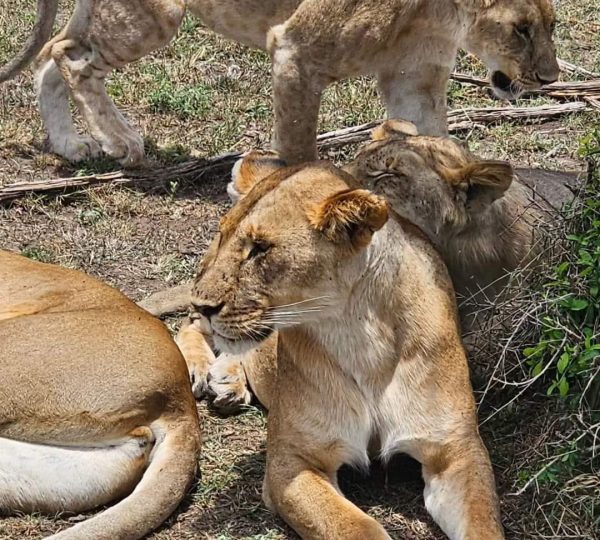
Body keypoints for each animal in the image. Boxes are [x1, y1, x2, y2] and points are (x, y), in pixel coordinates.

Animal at [1, 0, 558, 165]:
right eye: (521, 28)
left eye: (552, 25)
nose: (550, 78)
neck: (443, 14)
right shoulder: (296, 51)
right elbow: (298, 151)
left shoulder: (415, 81)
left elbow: (435, 139)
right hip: (155, 17)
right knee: (70, 58)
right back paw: (120, 141)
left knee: (51, 57)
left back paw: (70, 145)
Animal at [177, 158, 504, 539]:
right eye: (222, 234)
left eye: (260, 248)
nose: (202, 303)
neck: (359, 335)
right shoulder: (290, 463)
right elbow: (356, 528)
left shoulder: (455, 451)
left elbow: (484, 525)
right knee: (189, 326)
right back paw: (204, 371)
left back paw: (228, 382)